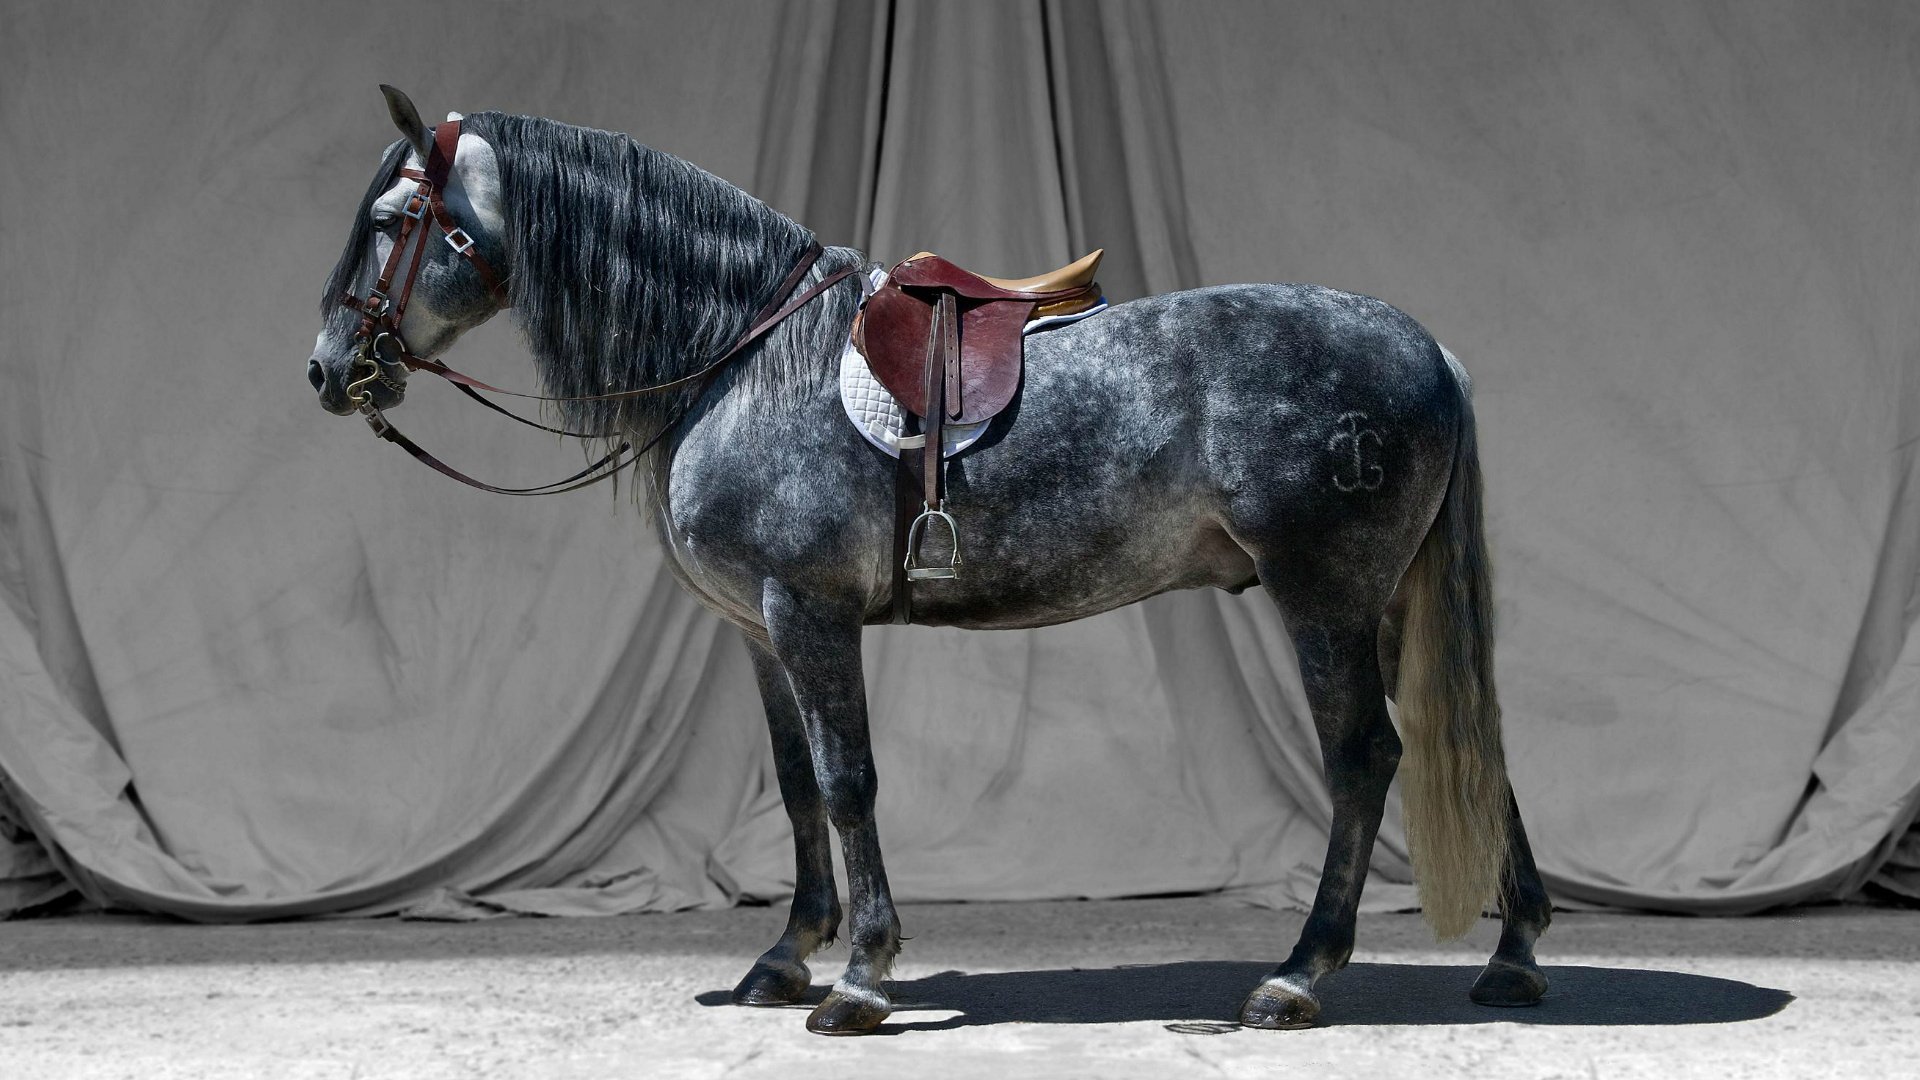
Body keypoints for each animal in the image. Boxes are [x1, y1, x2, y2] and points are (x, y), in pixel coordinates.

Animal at [305, 86, 1552, 1035]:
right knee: (1469, 744)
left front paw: (859, 978)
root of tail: (1429, 350)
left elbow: (850, 782)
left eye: (398, 217)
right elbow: (799, 784)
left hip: (1324, 599)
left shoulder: (807, 612)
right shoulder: (760, 630)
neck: (747, 356)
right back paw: (1514, 958)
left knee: (1367, 760)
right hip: (1390, 605)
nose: (327, 369)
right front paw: (784, 958)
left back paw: (1297, 977)